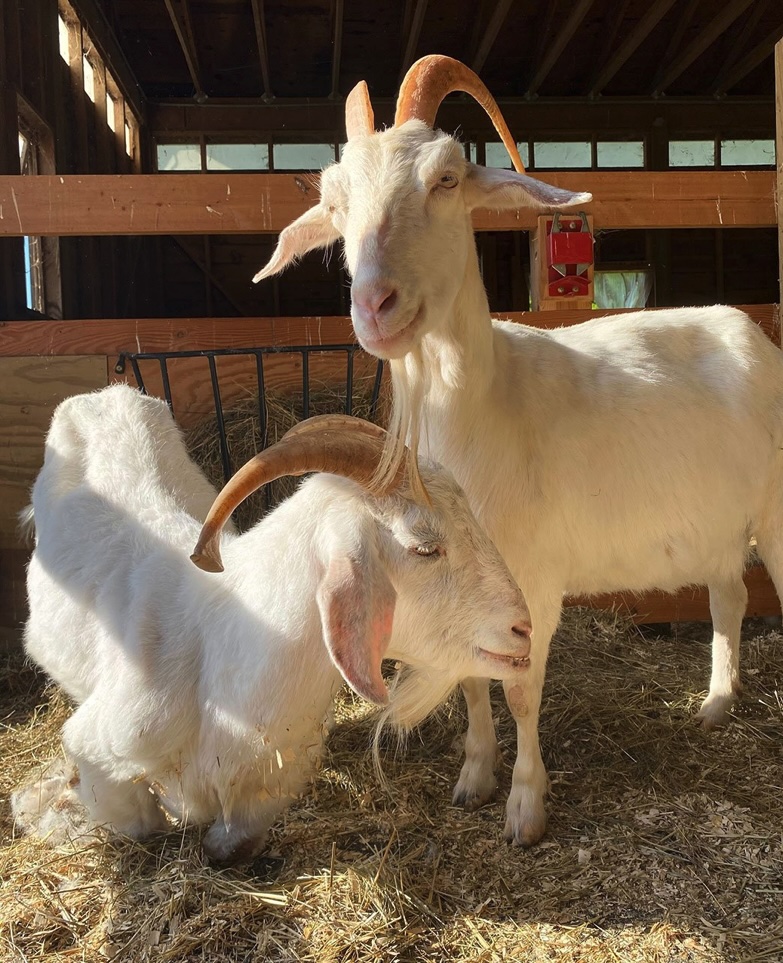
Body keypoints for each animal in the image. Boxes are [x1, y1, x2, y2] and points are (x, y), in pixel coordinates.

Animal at [20, 384, 532, 864]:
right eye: (425, 546)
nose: (523, 629)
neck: (221, 648)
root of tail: (106, 395)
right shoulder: (99, 750)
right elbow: (143, 823)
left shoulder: (271, 786)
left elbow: (230, 844)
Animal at [251, 54, 783, 847]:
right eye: (336, 203)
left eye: (445, 178)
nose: (374, 305)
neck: (486, 407)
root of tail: (749, 329)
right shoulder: (466, 585)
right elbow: (475, 677)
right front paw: (474, 776)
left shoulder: (531, 575)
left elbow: (523, 687)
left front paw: (526, 807)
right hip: (718, 523)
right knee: (727, 594)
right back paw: (715, 704)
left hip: (774, 511)